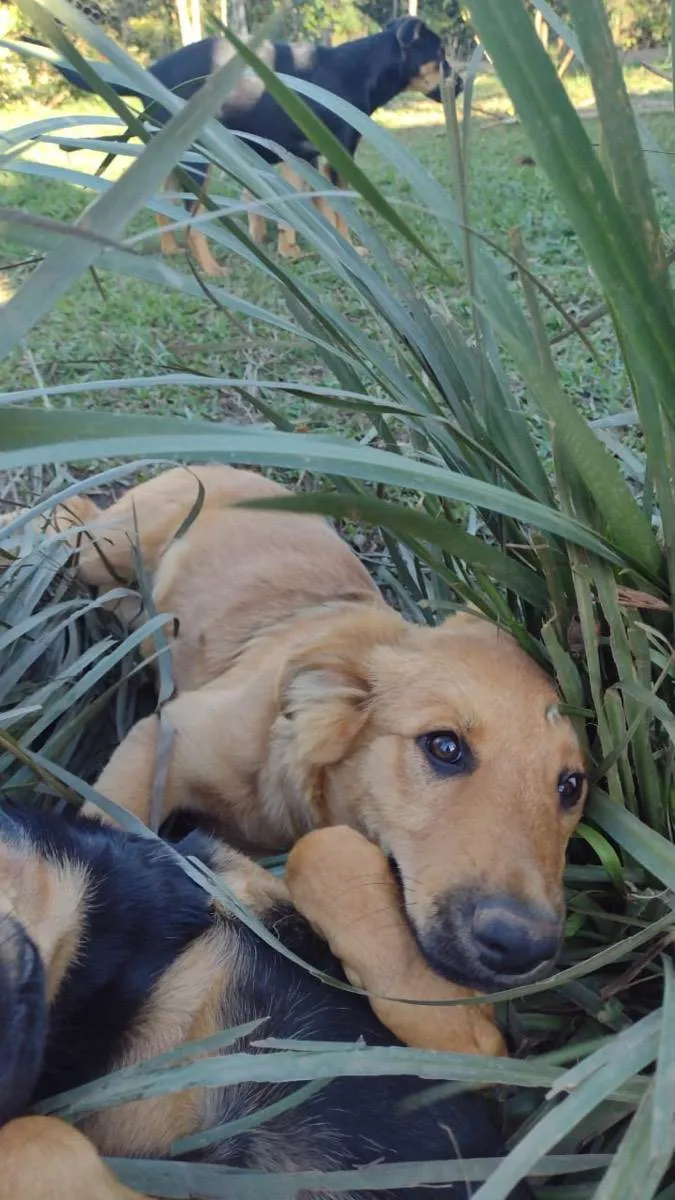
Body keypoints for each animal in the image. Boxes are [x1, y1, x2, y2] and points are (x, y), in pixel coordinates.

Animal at [22, 460, 583, 993]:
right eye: (444, 746)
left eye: (571, 787)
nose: (521, 947)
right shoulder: (161, 739)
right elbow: (111, 833)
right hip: (108, 544)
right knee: (73, 517)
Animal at [23, 18, 458, 272]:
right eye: (440, 54)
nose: (461, 83)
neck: (362, 70)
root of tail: (151, 73)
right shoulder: (337, 159)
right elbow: (340, 213)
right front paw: (355, 251)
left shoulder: (307, 159)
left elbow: (315, 209)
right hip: (198, 162)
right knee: (193, 222)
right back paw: (211, 270)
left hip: (171, 156)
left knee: (164, 205)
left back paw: (169, 251)